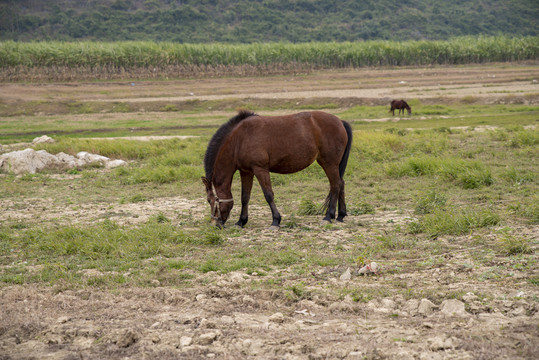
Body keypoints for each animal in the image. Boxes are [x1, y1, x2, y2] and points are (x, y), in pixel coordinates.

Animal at [202, 109, 354, 228]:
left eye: (210, 200)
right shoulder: (246, 172)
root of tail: (340, 121)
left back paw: (328, 216)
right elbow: (245, 197)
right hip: (333, 165)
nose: (215, 224)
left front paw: (276, 220)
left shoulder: (260, 169)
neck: (240, 139)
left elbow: (268, 194)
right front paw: (241, 221)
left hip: (329, 163)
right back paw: (340, 215)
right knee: (341, 184)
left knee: (335, 185)